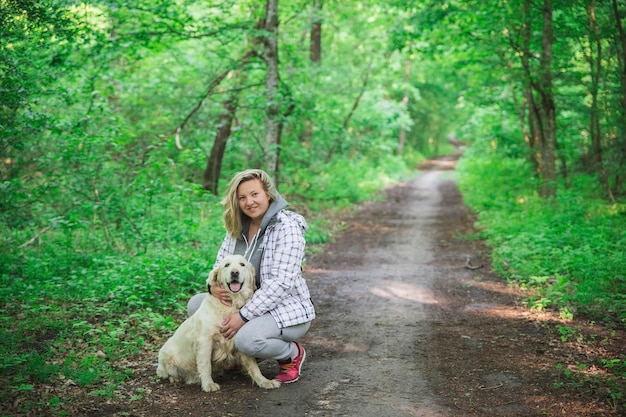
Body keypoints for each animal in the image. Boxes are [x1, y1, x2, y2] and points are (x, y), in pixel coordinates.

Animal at [157, 252, 280, 392]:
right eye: (226, 265)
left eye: (242, 264)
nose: (234, 272)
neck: (231, 304)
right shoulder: (205, 341)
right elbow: (205, 365)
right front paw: (208, 384)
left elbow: (254, 366)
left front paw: (264, 381)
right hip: (165, 358)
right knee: (168, 373)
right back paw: (176, 378)